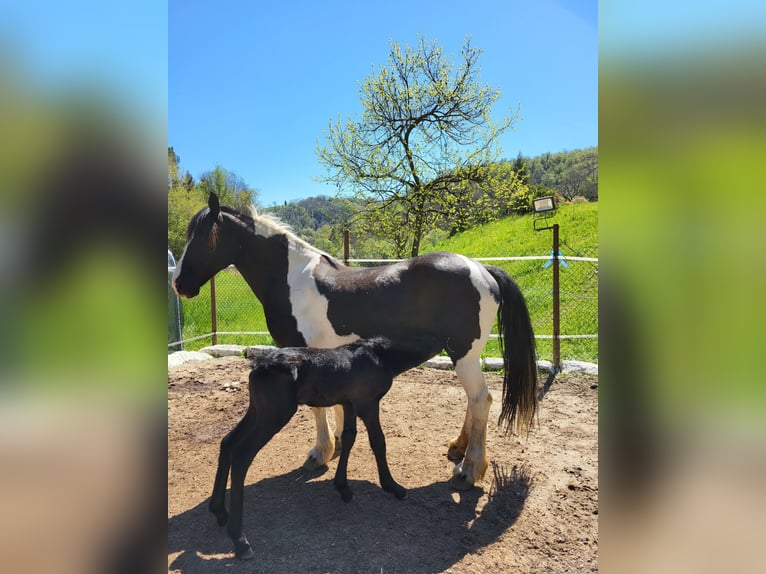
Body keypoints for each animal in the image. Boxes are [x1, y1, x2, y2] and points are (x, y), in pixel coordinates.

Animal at [172, 194, 540, 490]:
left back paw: (469, 470)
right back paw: (458, 448)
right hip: (463, 355)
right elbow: (333, 403)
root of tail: (482, 269)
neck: (293, 280)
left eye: (203, 237)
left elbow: (315, 408)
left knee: (481, 400)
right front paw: (335, 443)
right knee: (473, 401)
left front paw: (319, 454)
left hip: (463, 353)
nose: (178, 283)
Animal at [210, 338, 440, 564]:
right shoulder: (367, 404)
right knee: (241, 455)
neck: (379, 355)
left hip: (257, 410)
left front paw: (343, 488)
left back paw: (219, 511)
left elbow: (349, 437)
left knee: (228, 442)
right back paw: (240, 540)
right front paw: (393, 487)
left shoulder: (349, 403)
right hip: (274, 414)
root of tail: (259, 365)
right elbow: (378, 442)